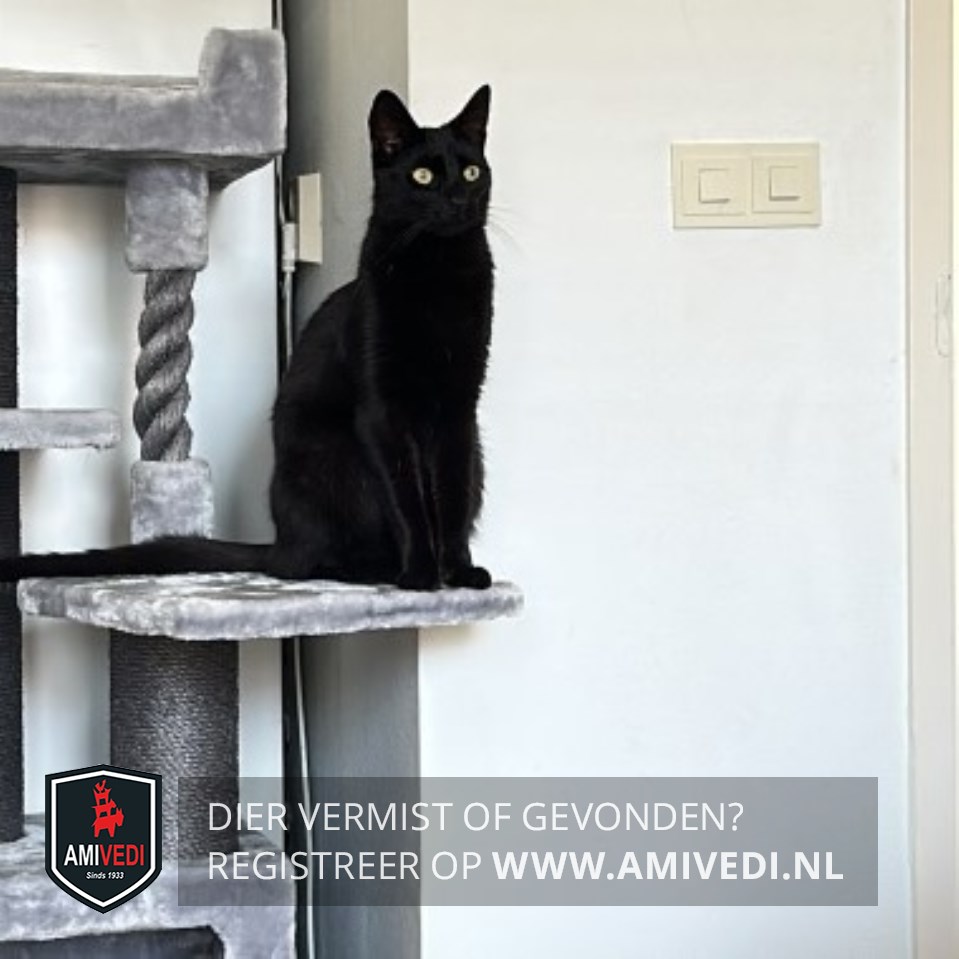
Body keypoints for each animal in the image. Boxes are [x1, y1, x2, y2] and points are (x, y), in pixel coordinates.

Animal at [0, 86, 495, 591]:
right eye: (422, 176)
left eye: (472, 171)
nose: (459, 199)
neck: (439, 274)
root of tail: (280, 541)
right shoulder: (383, 410)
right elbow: (408, 499)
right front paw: (421, 575)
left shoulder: (461, 407)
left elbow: (451, 495)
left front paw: (458, 570)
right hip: (332, 456)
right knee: (306, 563)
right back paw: (377, 569)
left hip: (470, 448)